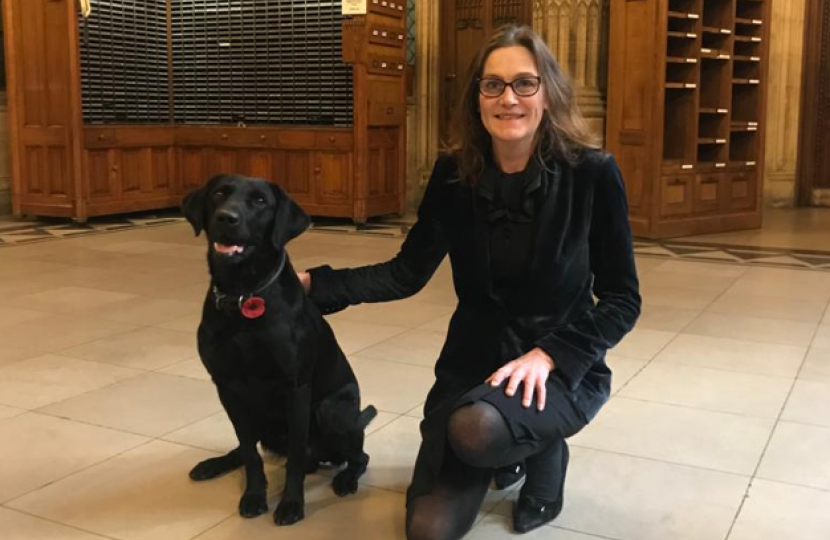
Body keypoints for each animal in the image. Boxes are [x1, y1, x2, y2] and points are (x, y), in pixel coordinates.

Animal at [184, 175, 376, 524]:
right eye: (219, 193)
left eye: (260, 201)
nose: (226, 218)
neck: (243, 293)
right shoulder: (227, 386)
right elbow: (249, 453)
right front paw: (253, 496)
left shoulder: (295, 385)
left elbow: (296, 458)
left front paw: (291, 504)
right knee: (244, 447)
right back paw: (213, 464)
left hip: (333, 411)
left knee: (358, 455)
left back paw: (345, 479)